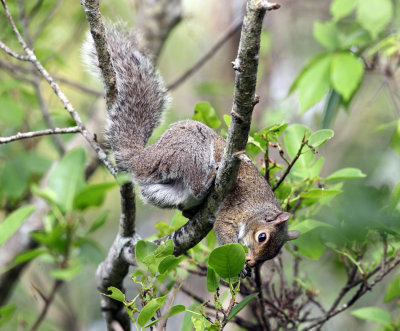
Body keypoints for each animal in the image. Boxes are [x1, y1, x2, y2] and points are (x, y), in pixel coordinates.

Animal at [83, 25, 298, 270]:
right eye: (262, 237)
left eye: (272, 254)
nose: (252, 262)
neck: (257, 208)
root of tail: (146, 156)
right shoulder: (231, 213)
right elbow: (223, 231)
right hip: (191, 150)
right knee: (195, 185)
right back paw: (208, 182)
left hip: (160, 191)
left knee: (180, 203)